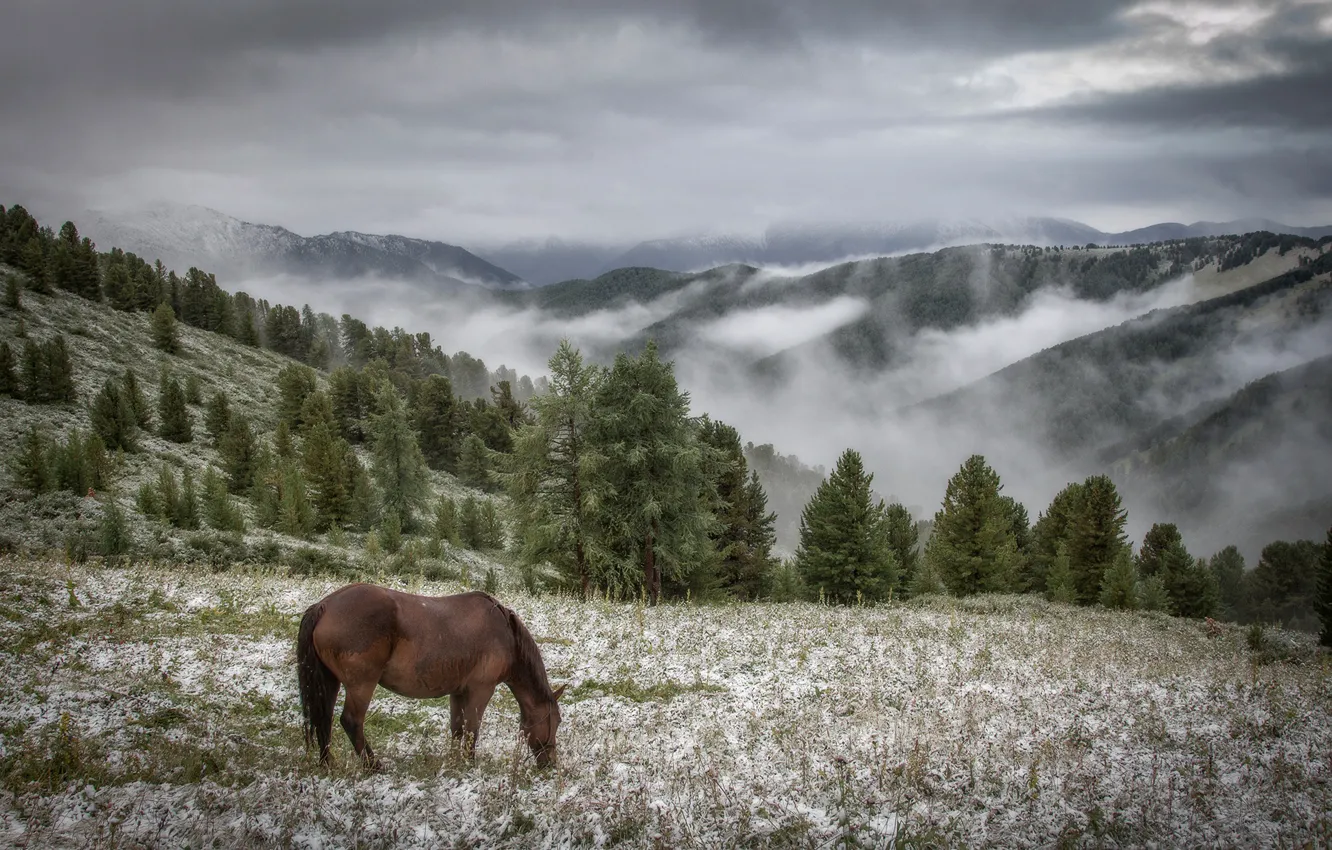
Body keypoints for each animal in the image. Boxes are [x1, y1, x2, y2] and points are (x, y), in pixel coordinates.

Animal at [294, 586, 564, 772]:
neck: (506, 635)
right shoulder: (481, 690)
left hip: (329, 682)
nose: (549, 764)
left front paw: (454, 762)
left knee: (324, 719)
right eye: (556, 721)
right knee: (351, 722)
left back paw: (327, 764)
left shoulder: (458, 691)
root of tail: (324, 606)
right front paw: (469, 764)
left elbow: (457, 728)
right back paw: (373, 766)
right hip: (361, 685)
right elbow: (472, 729)